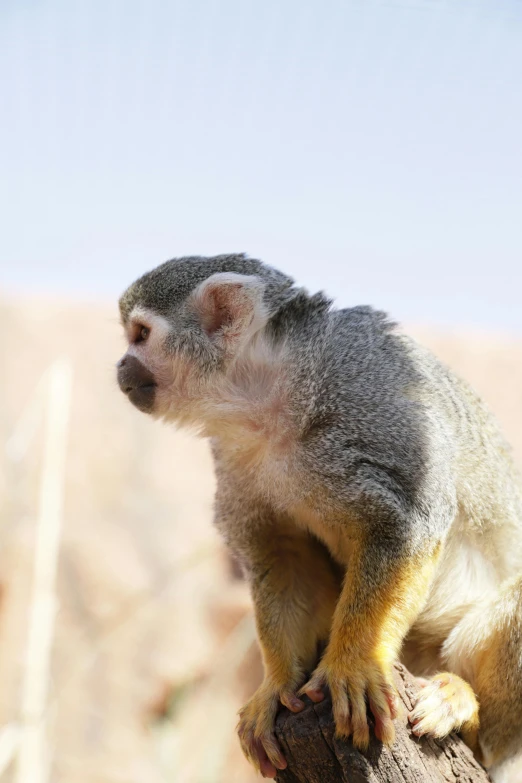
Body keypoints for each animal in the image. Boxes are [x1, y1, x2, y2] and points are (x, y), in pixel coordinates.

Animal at [116, 256, 520, 776]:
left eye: (141, 334)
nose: (121, 366)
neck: (272, 393)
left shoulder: (369, 396)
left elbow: (409, 520)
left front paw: (354, 663)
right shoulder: (235, 454)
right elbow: (284, 557)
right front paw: (275, 687)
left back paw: (469, 715)